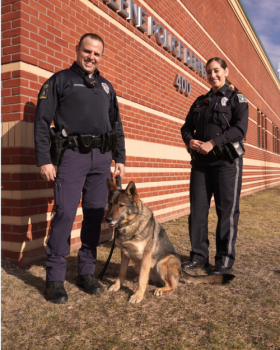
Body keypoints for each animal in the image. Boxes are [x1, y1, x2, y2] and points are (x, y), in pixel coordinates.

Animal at [105, 179, 234, 302]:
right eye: (110, 204)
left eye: (121, 205)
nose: (107, 219)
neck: (130, 225)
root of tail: (180, 269)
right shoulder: (124, 253)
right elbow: (122, 272)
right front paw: (117, 286)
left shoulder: (146, 256)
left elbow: (142, 279)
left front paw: (138, 296)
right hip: (138, 265)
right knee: (148, 278)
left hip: (163, 262)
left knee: (172, 285)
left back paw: (160, 289)